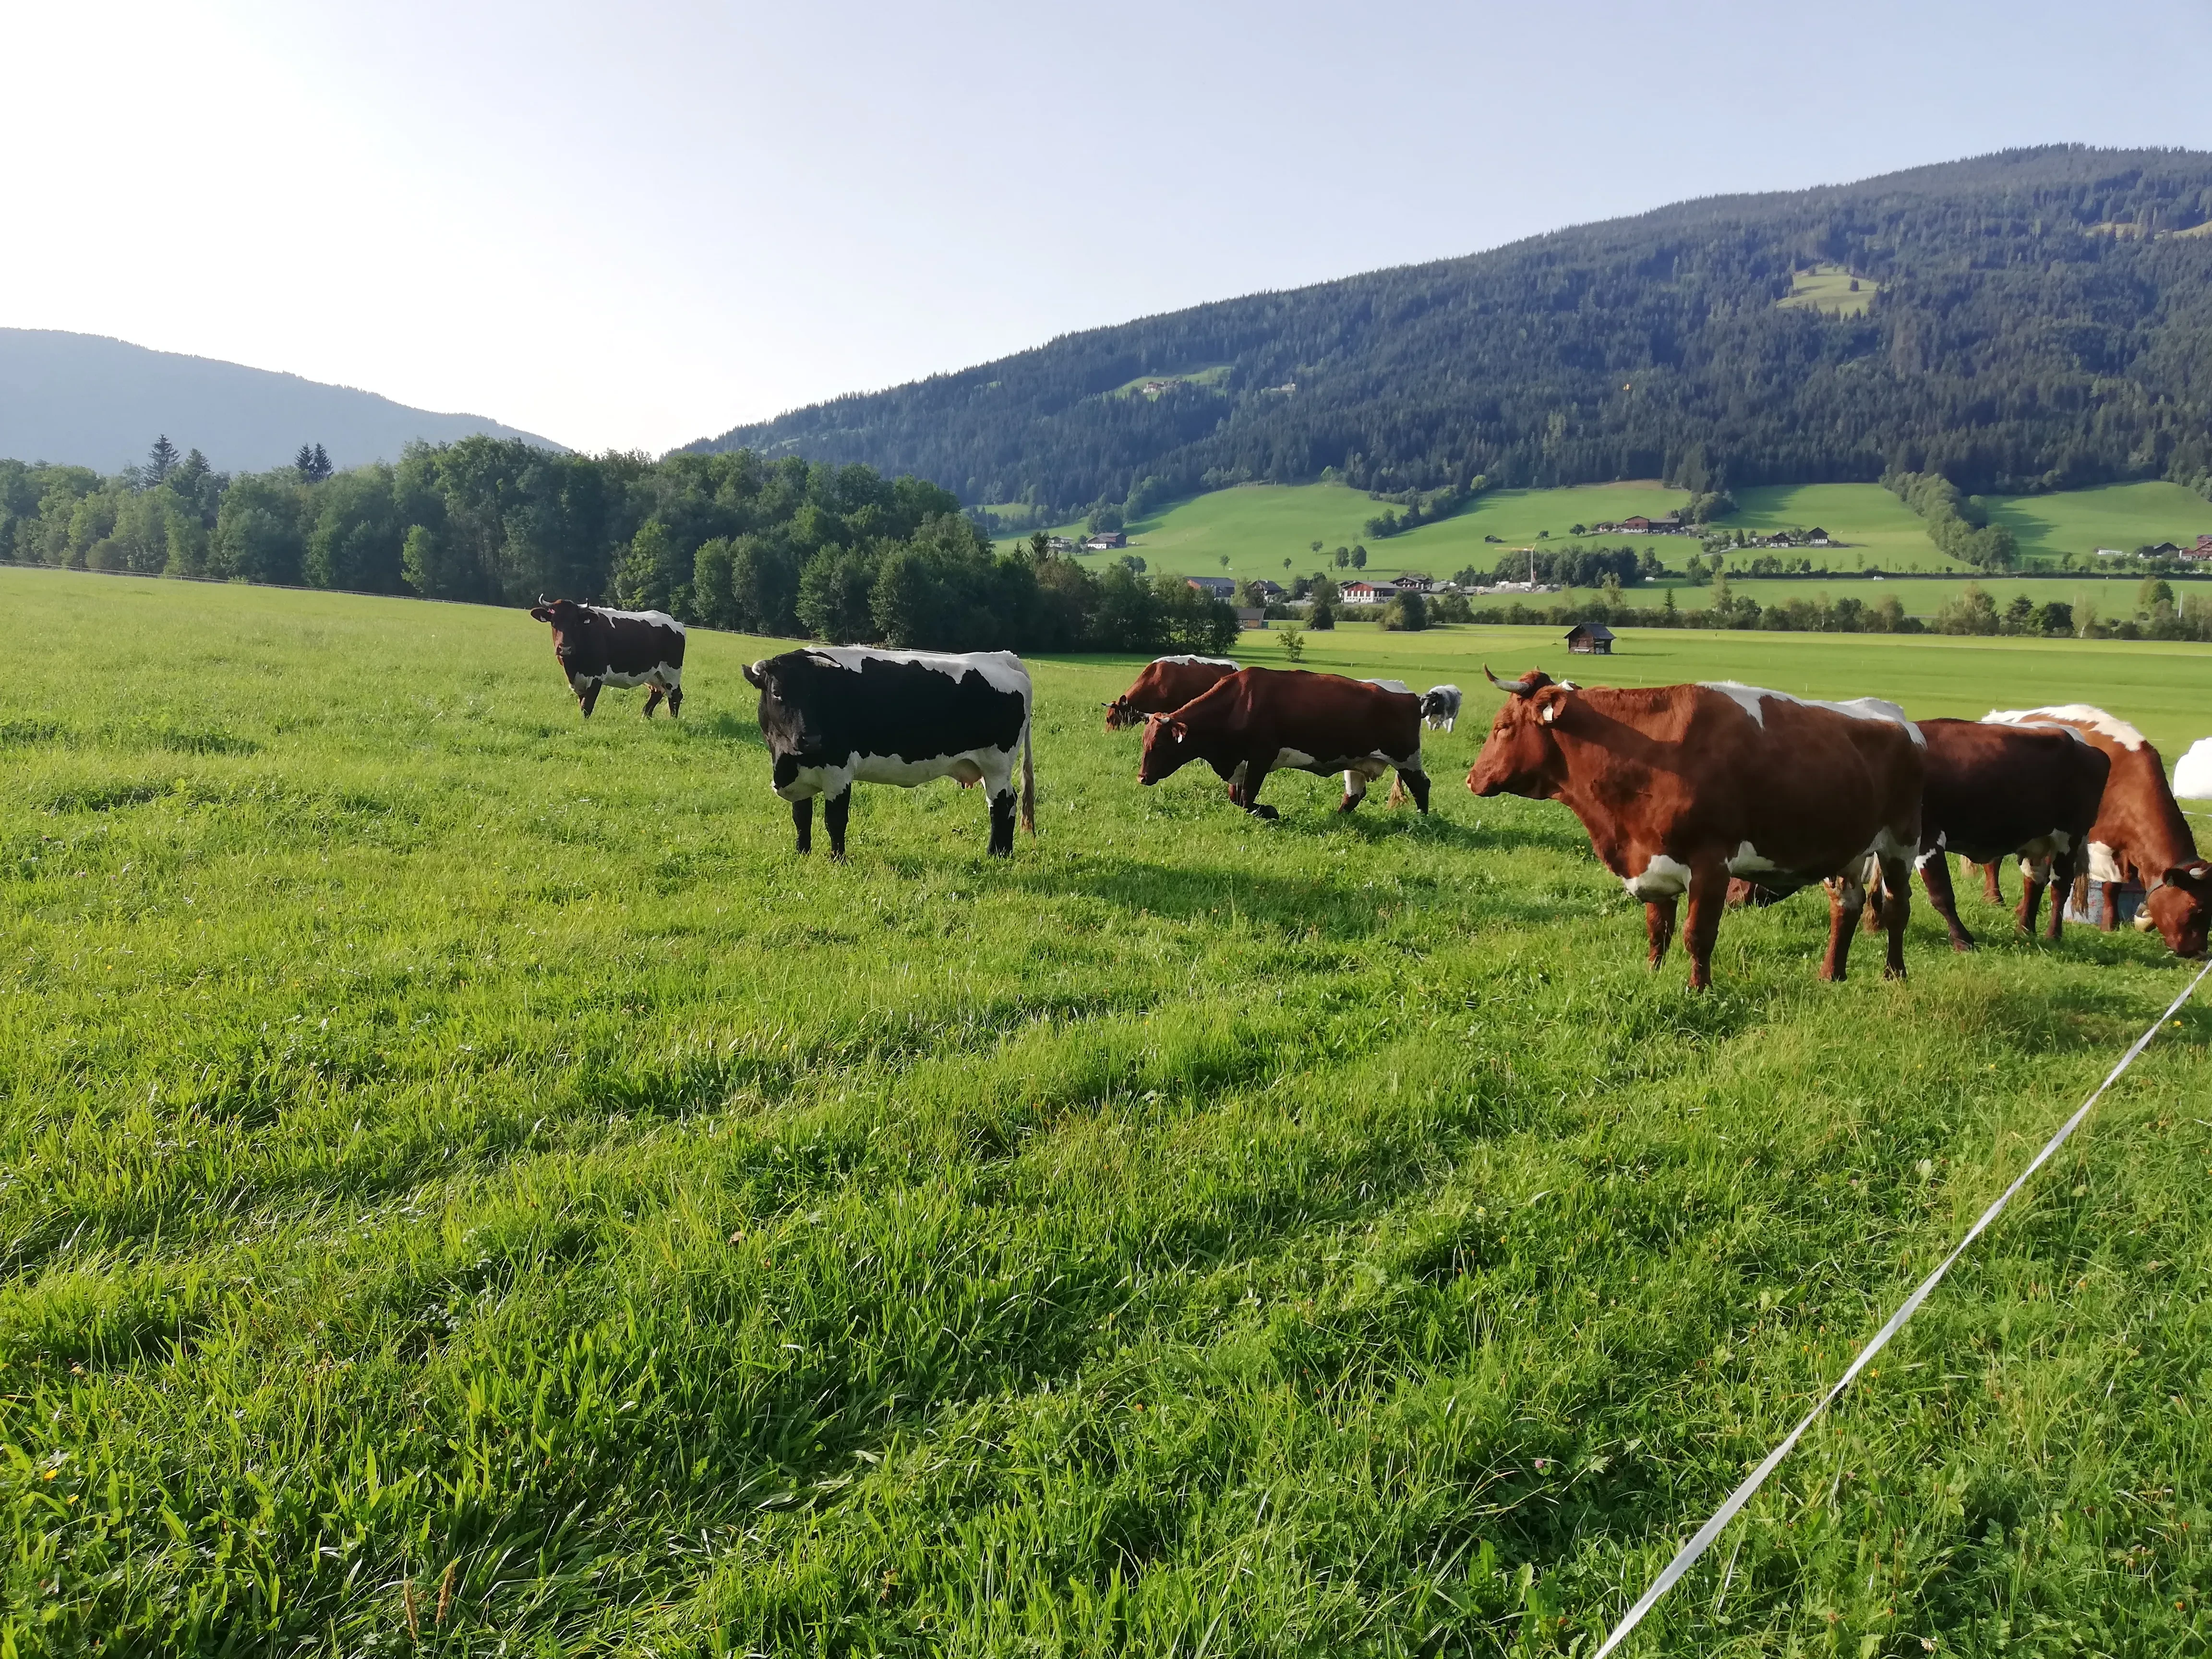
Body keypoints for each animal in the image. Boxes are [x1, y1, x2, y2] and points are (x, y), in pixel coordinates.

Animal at [524, 606, 681, 721]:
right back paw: (645, 717)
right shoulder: (579, 681)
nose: (565, 648)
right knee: (657, 692)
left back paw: (673, 720)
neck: (573, 666)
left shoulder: (596, 676)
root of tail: (676, 623)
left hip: (672, 673)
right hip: (654, 674)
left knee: (675, 695)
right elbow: (582, 702)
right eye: (554, 622)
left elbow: (587, 704)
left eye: (575, 623)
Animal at [1141, 668, 1433, 814]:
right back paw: (1338, 818)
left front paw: (1269, 811)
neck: (1238, 703)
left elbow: (1247, 798)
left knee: (1421, 785)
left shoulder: (1262, 756)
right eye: (1145, 744)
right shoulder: (1240, 763)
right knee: (1354, 795)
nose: (1142, 778)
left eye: (1160, 745)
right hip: (1358, 761)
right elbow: (1236, 797)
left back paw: (1421, 820)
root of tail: (1408, 693)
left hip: (1406, 757)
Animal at [1478, 672, 1929, 995]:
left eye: (1501, 727)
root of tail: (1896, 716)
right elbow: (1658, 931)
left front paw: (1699, 989)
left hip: (1901, 843)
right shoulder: (1653, 862)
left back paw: (1895, 973)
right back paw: (1831, 974)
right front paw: (1653, 976)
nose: (1472, 778)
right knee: (1846, 906)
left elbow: (1698, 935)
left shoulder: (1711, 864)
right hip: (1849, 849)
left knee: (1896, 908)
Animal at [1982, 703, 2203, 960]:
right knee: (1994, 861)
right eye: (2196, 908)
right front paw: (2109, 926)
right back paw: (1994, 898)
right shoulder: (2097, 845)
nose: (2199, 952)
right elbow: (2107, 886)